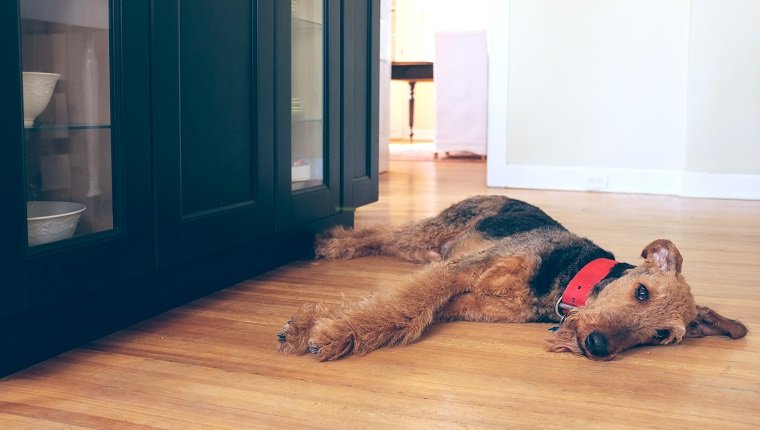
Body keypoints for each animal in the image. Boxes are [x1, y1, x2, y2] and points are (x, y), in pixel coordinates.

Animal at [276, 195, 744, 360]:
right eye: (642, 291)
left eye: (662, 336)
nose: (596, 346)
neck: (567, 276)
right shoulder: (458, 270)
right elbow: (406, 305)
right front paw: (327, 334)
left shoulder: (469, 302)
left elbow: (411, 312)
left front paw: (315, 327)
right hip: (433, 233)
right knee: (380, 234)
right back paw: (331, 242)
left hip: (426, 250)